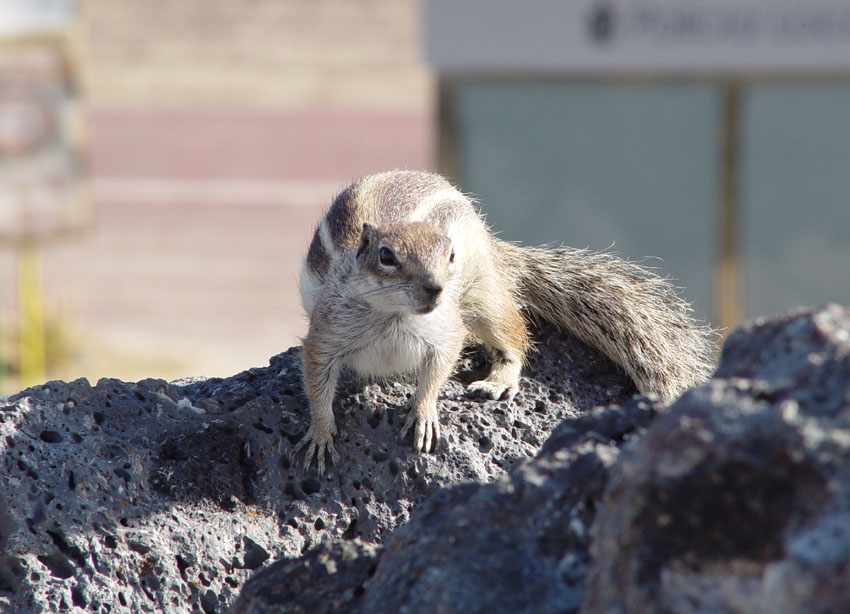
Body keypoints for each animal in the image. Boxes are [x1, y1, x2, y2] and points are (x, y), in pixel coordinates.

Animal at [296, 171, 716, 474]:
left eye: (449, 254)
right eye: (386, 256)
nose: (435, 288)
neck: (396, 317)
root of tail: (490, 242)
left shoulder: (447, 331)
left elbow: (438, 370)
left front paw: (423, 412)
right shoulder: (327, 332)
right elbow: (316, 379)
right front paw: (320, 433)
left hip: (485, 296)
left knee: (514, 338)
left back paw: (499, 379)